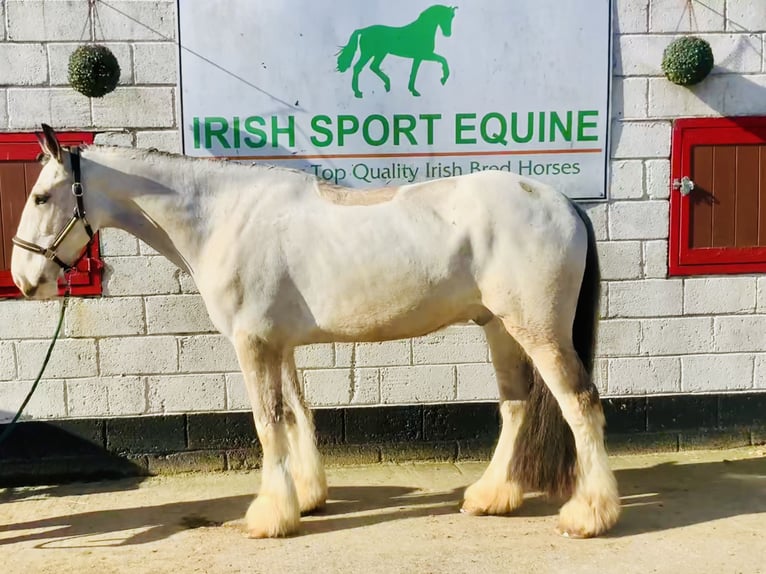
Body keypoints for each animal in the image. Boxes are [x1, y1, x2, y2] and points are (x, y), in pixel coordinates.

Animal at [11, 125, 620, 539]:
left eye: (41, 196)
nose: (23, 279)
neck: (222, 216)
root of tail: (564, 203)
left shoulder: (252, 345)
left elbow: (267, 424)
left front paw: (268, 516)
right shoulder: (278, 345)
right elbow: (296, 416)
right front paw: (305, 498)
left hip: (538, 330)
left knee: (579, 404)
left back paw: (589, 514)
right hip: (499, 328)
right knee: (517, 406)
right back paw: (492, 497)